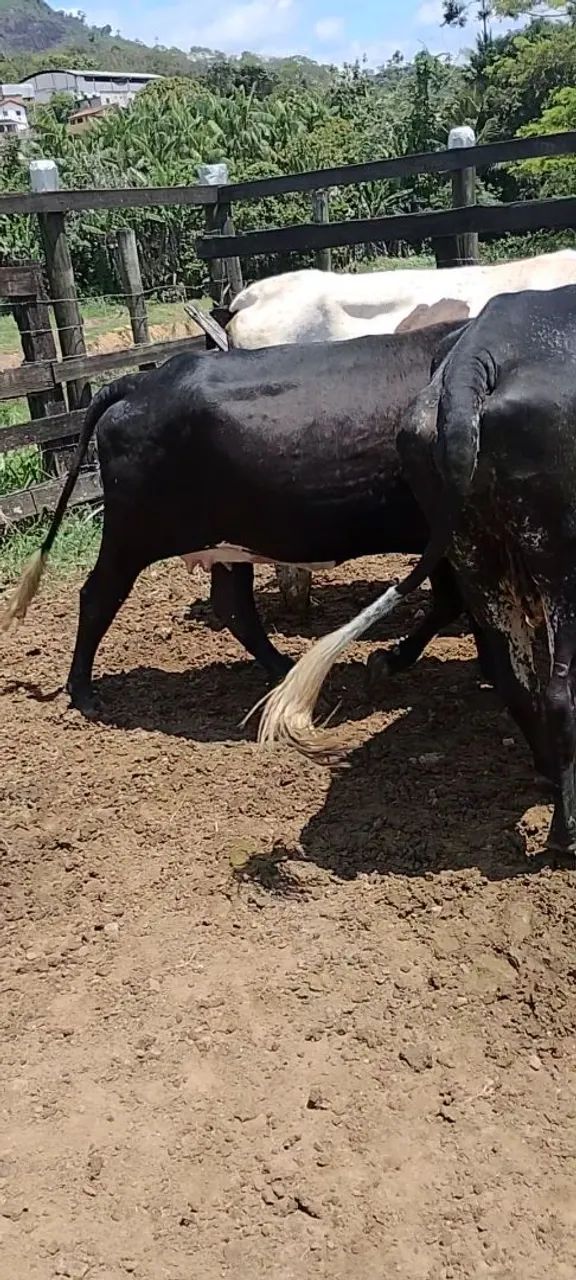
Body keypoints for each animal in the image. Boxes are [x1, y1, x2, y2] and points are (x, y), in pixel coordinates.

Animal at [1, 321, 478, 716]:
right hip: (133, 534)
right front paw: (388, 661)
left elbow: (453, 604)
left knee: (234, 608)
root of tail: (142, 380)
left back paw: (285, 671)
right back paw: (83, 693)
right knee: (98, 596)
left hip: (227, 542)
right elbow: (450, 604)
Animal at [253, 284, 576, 860]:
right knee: (558, 693)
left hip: (476, 552)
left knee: (520, 682)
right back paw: (566, 831)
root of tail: (477, 358)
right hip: (555, 554)